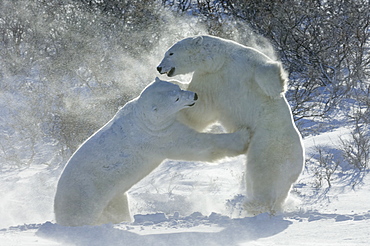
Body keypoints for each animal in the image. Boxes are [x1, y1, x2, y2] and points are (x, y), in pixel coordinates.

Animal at [54, 78, 251, 226]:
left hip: (112, 197)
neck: (142, 117)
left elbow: (192, 121)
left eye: (177, 88)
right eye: (175, 99)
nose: (194, 95)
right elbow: (197, 145)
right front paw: (243, 135)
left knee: (117, 207)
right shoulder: (159, 136)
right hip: (85, 197)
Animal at [158, 35, 304, 215]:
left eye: (170, 53)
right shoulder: (210, 79)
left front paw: (276, 88)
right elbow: (200, 109)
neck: (220, 61)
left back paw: (254, 205)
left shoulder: (245, 62)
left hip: (270, 144)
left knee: (264, 174)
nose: (159, 67)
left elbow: (267, 72)